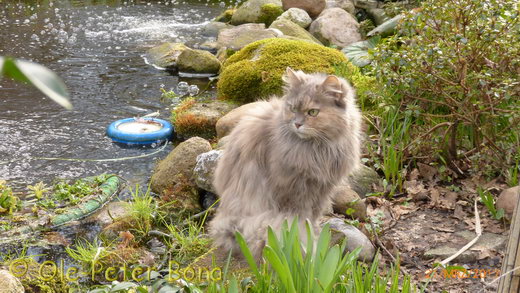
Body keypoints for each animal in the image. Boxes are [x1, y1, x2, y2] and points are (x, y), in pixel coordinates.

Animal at [207, 66, 362, 258]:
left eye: (312, 112)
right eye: (292, 108)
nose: (297, 124)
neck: (318, 149)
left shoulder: (322, 188)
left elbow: (314, 215)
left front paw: (315, 231)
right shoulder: (293, 189)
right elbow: (302, 218)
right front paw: (309, 235)